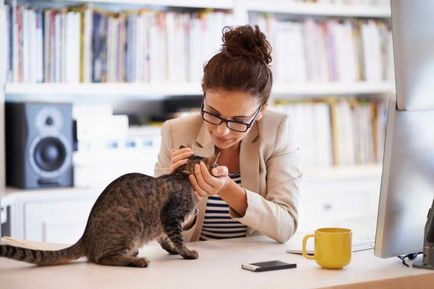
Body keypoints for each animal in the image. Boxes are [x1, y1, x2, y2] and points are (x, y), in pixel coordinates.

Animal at [0, 150, 216, 266]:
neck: (182, 175)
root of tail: (86, 237)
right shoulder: (171, 217)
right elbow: (178, 239)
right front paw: (187, 253)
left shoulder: (162, 225)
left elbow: (165, 240)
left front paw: (172, 250)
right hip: (131, 222)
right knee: (102, 258)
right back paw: (137, 261)